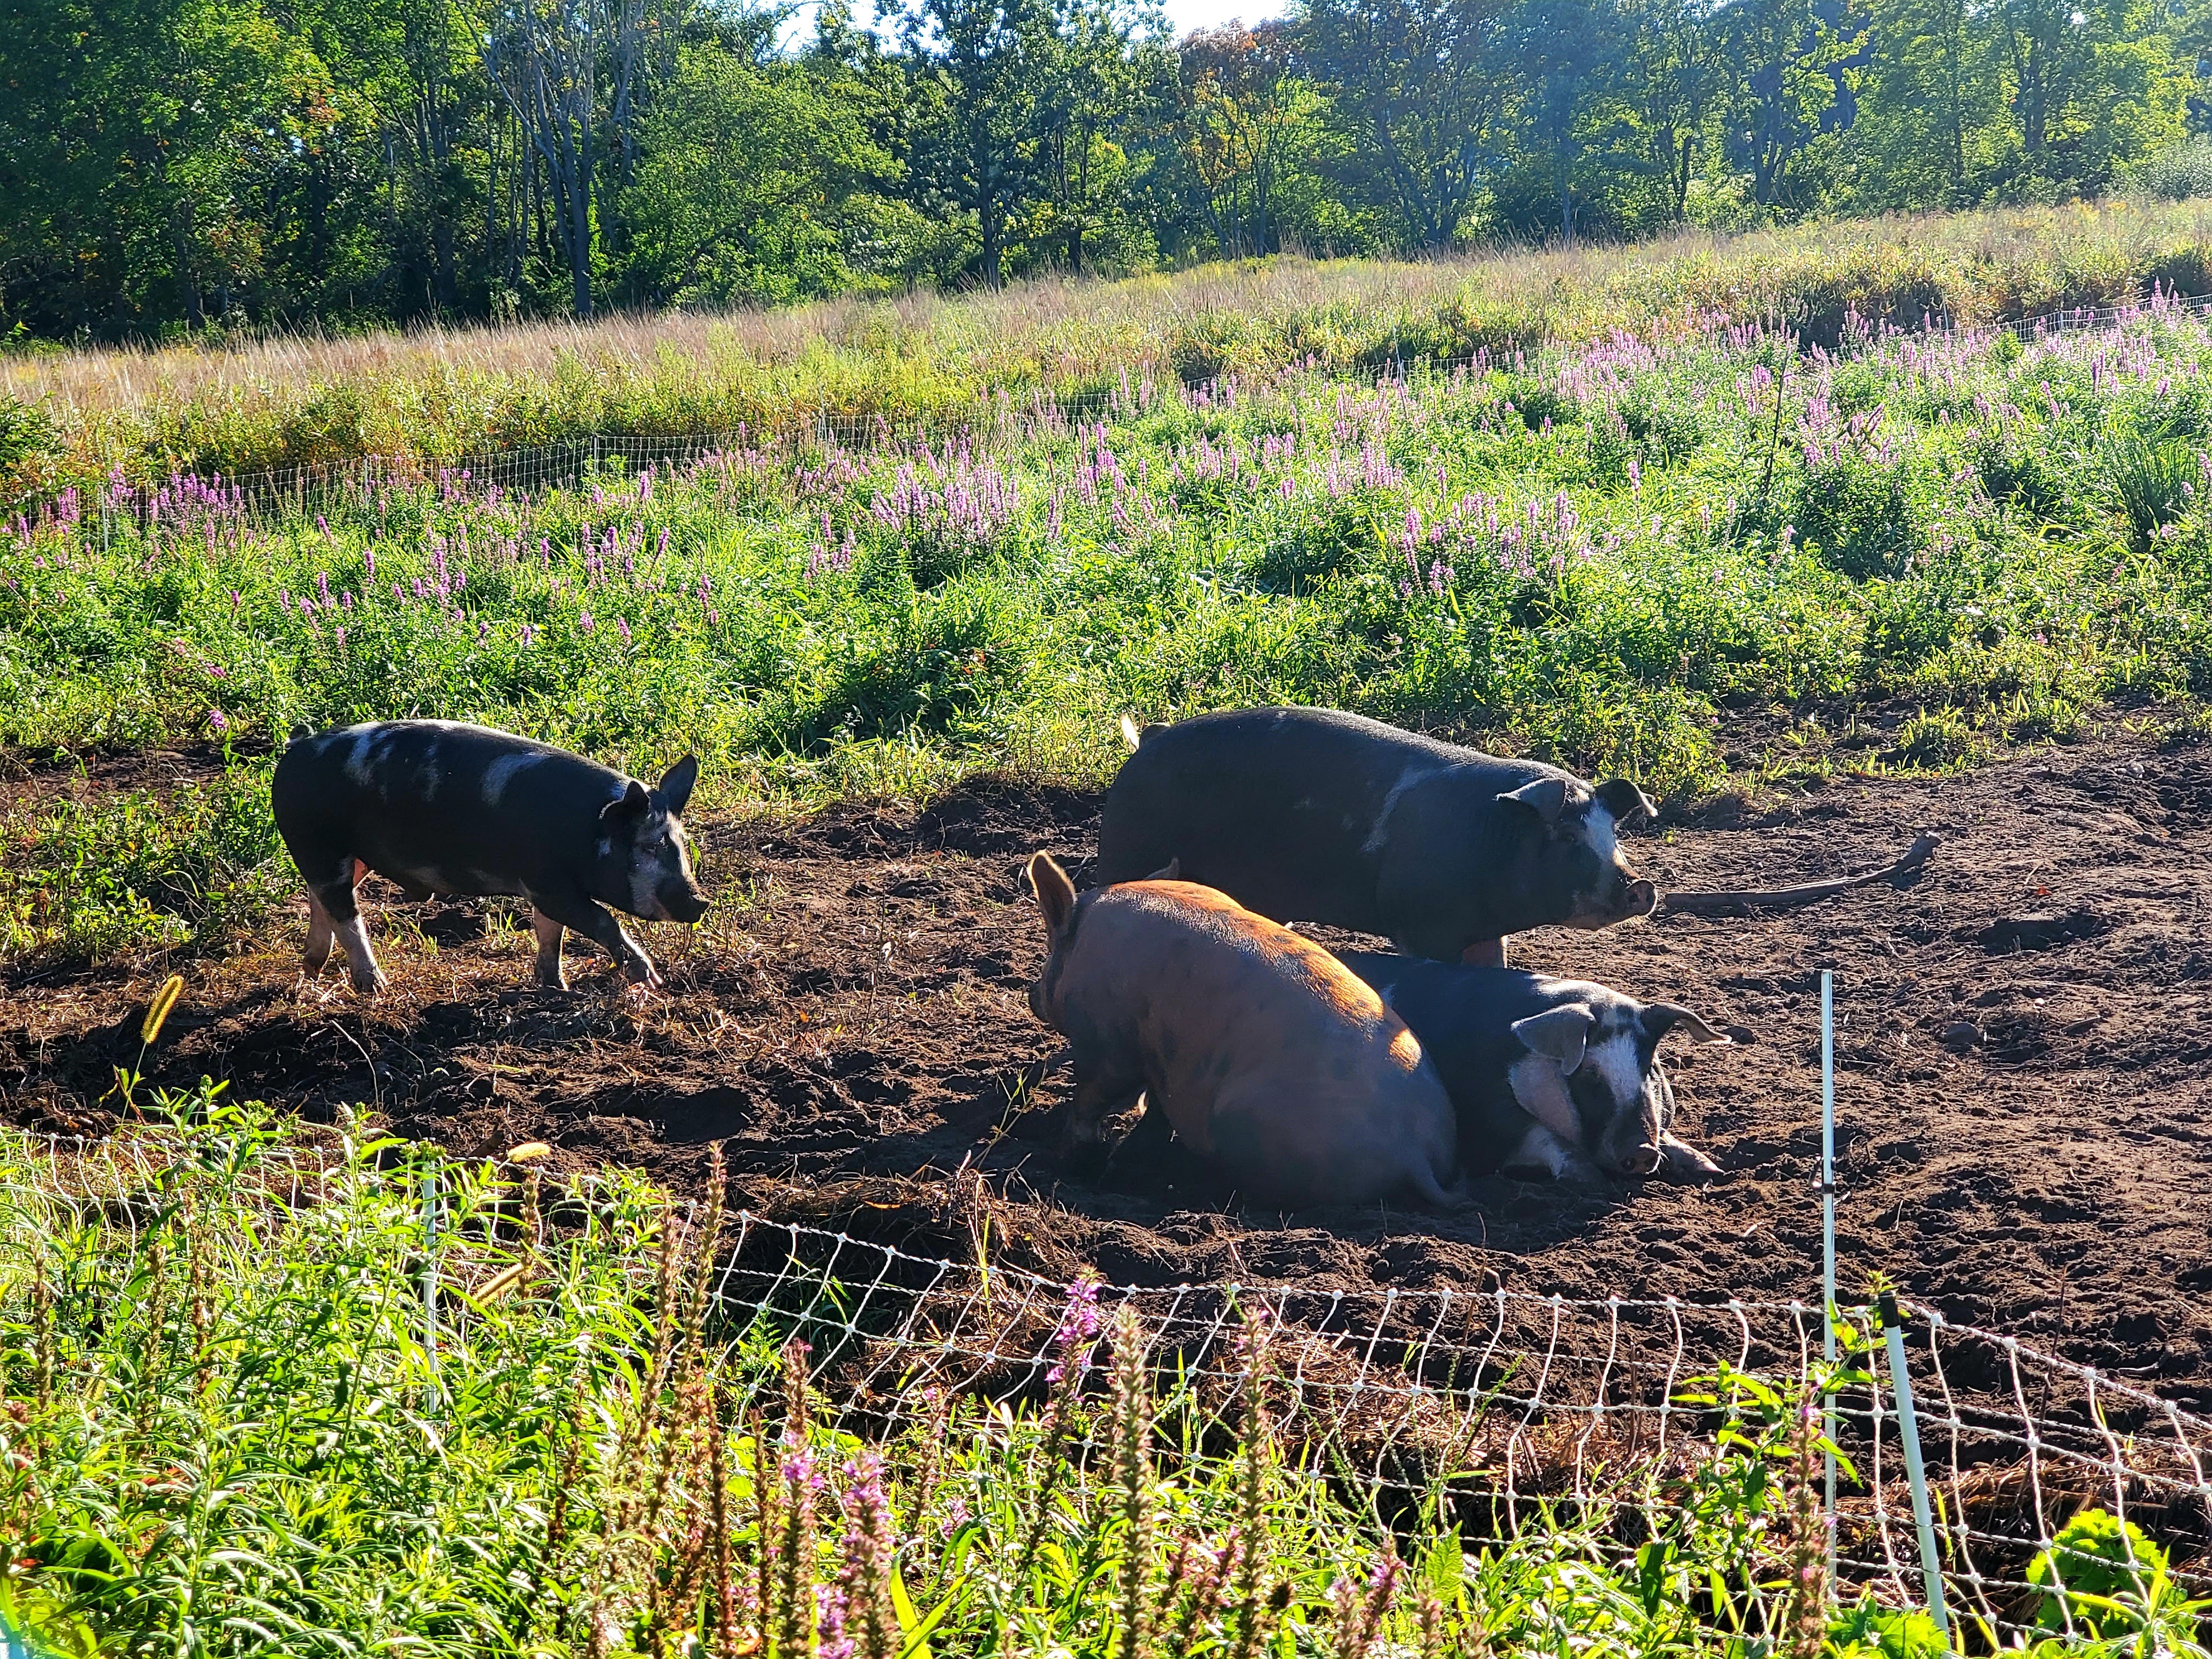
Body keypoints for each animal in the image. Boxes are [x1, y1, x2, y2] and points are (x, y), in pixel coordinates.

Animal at [271, 719, 708, 992]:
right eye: (648, 847)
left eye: (682, 844)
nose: (700, 901)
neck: (587, 831)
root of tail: (297, 747)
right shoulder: (550, 885)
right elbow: (601, 919)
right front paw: (651, 980)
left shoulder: (544, 889)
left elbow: (551, 933)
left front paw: (556, 987)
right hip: (317, 845)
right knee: (344, 911)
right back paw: (375, 986)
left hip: (352, 857)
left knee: (320, 900)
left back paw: (312, 969)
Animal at [1022, 852, 1461, 1210]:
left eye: (1051, 950)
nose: (1031, 995)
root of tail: (1414, 1151)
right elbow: (1155, 1109)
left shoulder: (1108, 1042)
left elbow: (1092, 1099)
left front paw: (1071, 1160)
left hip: (1244, 1121)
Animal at [1093, 707, 1658, 966]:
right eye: (1566, 835)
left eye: (1613, 832)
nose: (1640, 885)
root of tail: (1150, 739)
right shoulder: (1420, 925)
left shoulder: (1481, 934)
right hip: (1126, 848)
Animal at [1334, 951, 1729, 1182]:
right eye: (1589, 1077)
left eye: (1651, 1071)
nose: (1642, 1150)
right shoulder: (1487, 1120)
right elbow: (1537, 1135)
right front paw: (1589, 1179)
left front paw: (1711, 1168)